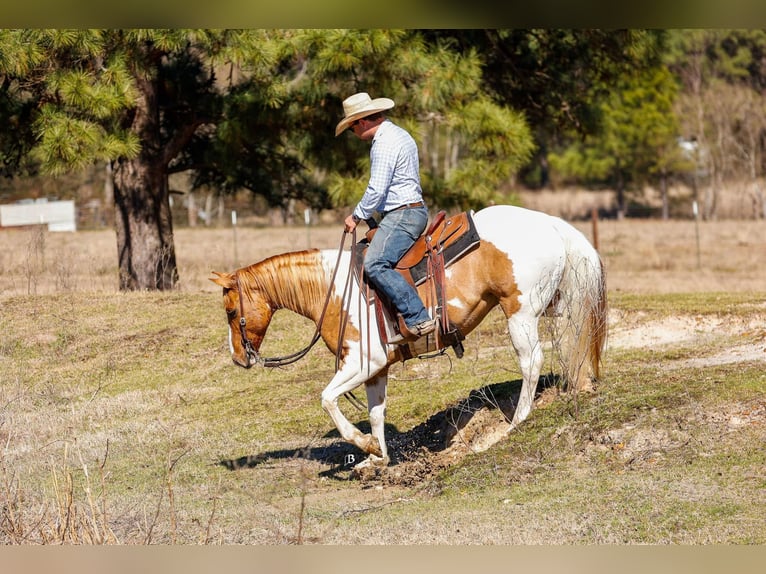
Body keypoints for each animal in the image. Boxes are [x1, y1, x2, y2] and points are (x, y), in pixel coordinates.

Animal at [210, 205, 608, 470]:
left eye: (230, 311)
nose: (238, 358)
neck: (334, 289)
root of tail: (551, 223)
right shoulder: (376, 369)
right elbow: (376, 413)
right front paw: (378, 459)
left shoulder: (362, 361)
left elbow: (327, 399)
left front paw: (366, 446)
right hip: (556, 306)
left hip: (520, 313)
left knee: (531, 361)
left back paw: (519, 418)